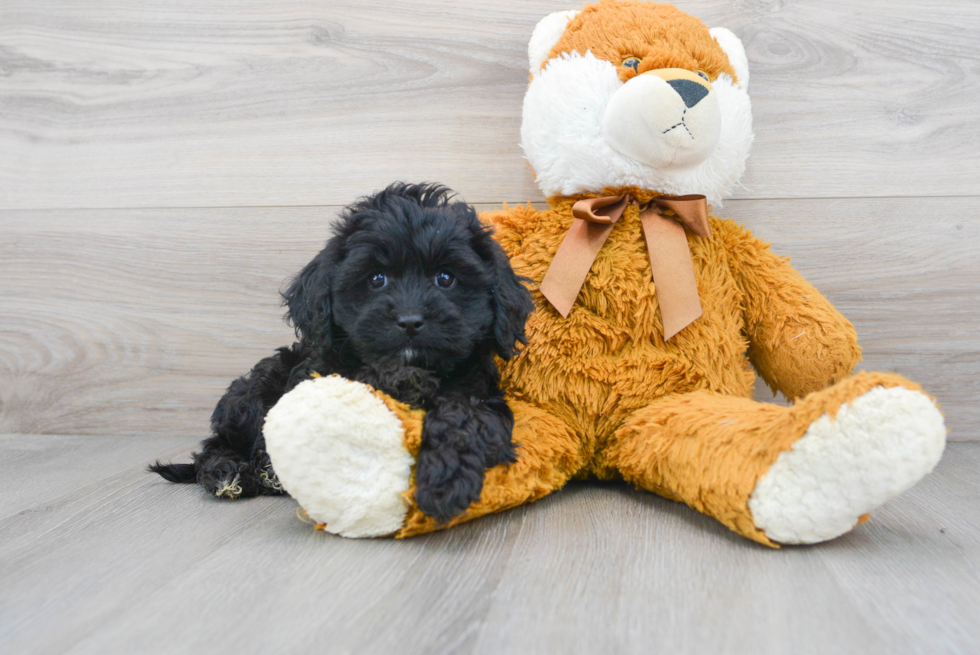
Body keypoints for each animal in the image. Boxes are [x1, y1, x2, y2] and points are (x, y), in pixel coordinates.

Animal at [151, 183, 536, 524]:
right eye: (377, 278)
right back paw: (232, 473)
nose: (410, 321)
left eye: (446, 278)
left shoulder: (481, 394)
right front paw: (402, 382)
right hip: (255, 390)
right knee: (216, 445)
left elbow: (465, 416)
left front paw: (446, 477)